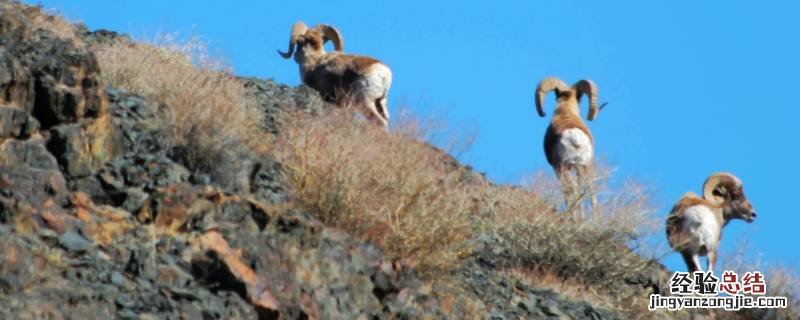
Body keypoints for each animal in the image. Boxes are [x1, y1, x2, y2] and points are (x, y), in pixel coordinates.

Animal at [536, 76, 600, 214]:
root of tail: (574, 137)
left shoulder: (556, 168)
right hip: (586, 166)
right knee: (591, 193)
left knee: (572, 190)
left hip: (565, 167)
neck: (565, 111)